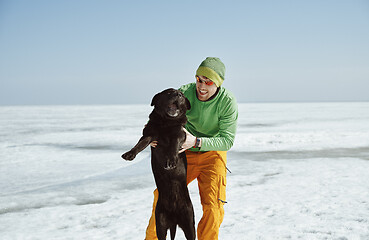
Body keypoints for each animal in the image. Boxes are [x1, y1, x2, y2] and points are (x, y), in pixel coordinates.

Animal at [121, 88, 196, 240]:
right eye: (169, 93)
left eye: (182, 95)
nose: (178, 95)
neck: (166, 122)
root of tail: (174, 219)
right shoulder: (150, 134)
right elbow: (140, 144)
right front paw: (129, 154)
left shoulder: (180, 134)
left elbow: (174, 144)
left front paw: (171, 160)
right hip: (160, 223)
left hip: (189, 224)